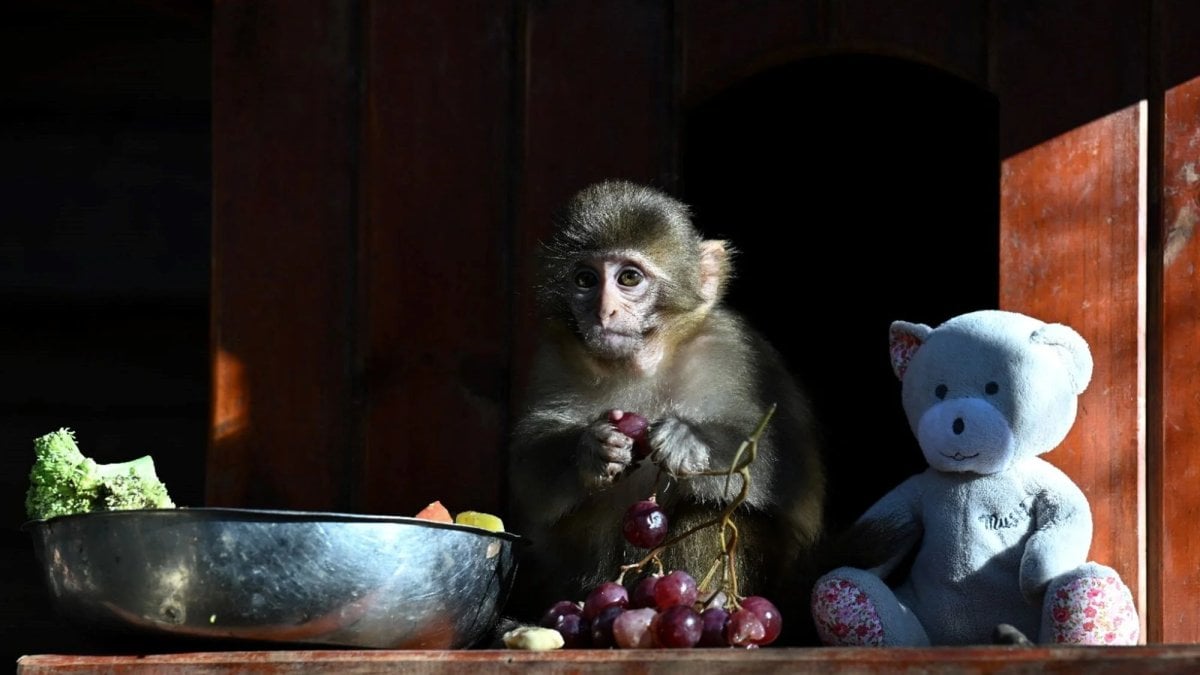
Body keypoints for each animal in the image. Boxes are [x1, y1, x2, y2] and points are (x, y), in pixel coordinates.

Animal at [504, 180, 825, 638]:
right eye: (585, 279)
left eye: (629, 277)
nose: (604, 311)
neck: (642, 362)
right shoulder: (552, 360)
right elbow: (530, 473)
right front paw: (592, 449)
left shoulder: (735, 348)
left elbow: (788, 468)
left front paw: (689, 439)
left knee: (705, 509)